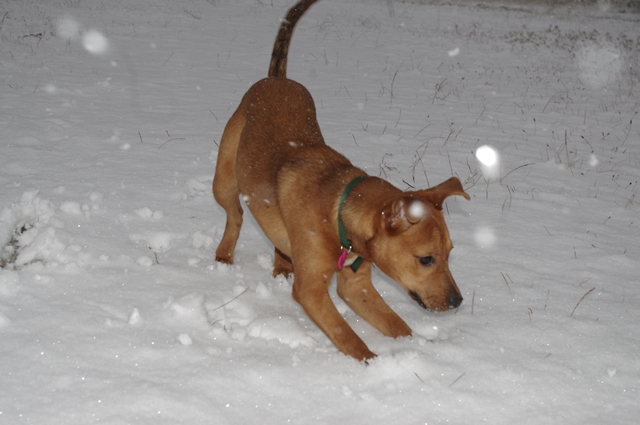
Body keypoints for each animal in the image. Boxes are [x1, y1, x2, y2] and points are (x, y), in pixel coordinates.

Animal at [212, 0, 470, 361]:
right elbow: (347, 336)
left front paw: (421, 351)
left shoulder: (356, 284)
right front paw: (373, 364)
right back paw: (225, 254)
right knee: (234, 213)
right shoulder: (311, 290)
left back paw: (282, 263)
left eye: (450, 253)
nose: (457, 301)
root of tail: (277, 79)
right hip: (224, 178)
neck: (338, 213)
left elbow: (397, 325)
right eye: (426, 259)